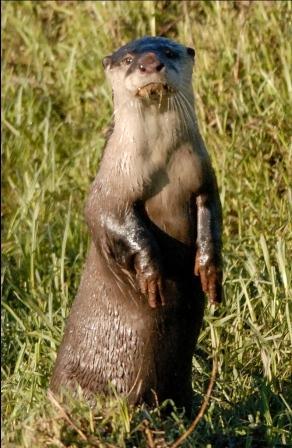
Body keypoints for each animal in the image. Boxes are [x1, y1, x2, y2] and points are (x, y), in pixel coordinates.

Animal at [50, 36, 224, 412]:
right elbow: (115, 224)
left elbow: (212, 218)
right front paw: (151, 275)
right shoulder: (110, 190)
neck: (161, 163)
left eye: (169, 52)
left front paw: (209, 269)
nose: (149, 64)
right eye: (129, 58)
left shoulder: (204, 180)